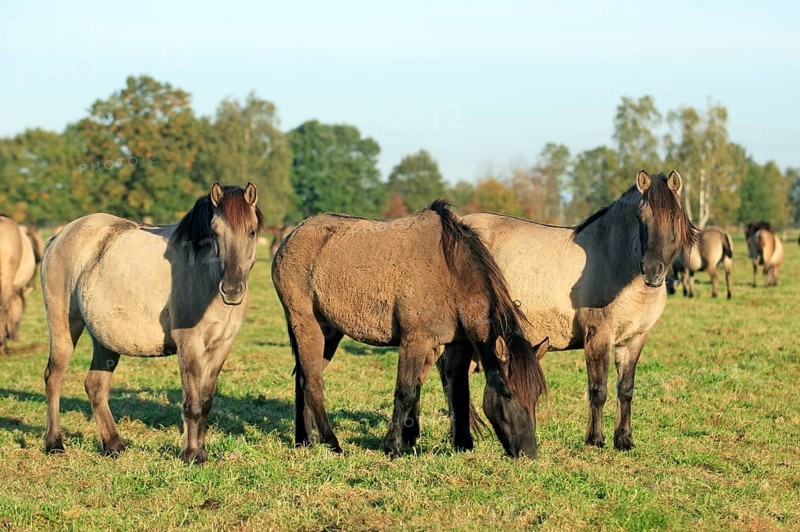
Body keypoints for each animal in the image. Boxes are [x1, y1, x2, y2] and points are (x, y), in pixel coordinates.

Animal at [42, 183, 262, 463]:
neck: (206, 277)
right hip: (64, 328)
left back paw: (113, 445)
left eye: (251, 231)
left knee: (95, 385)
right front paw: (191, 455)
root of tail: (59, 236)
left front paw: (201, 452)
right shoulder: (189, 345)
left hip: (105, 339)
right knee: (54, 379)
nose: (232, 290)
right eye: (214, 232)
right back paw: (54, 443)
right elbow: (192, 403)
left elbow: (205, 401)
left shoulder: (221, 346)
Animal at [272, 200, 548, 458]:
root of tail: (291, 236)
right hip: (306, 324)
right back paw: (332, 443)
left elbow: (458, 393)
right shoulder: (415, 340)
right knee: (313, 383)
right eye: (508, 393)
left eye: (536, 395)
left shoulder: (457, 346)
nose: (528, 453)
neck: (450, 272)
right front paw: (393, 446)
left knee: (303, 378)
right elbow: (405, 392)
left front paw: (463, 444)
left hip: (328, 332)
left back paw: (304, 440)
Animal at [433, 170, 697, 451]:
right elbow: (598, 390)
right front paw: (595, 440)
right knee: (452, 381)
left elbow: (626, 389)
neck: (616, 264)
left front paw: (624, 440)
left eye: (674, 217)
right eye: (640, 218)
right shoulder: (598, 337)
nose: (652, 271)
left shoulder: (634, 339)